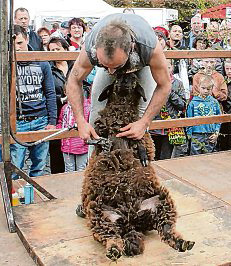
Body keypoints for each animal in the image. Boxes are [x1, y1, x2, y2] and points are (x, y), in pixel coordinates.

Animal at [79, 72, 195, 262]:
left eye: (132, 78)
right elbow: (101, 139)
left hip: (161, 200)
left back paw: (182, 243)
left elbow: (141, 144)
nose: (126, 78)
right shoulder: (100, 133)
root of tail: (131, 220)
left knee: (166, 229)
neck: (121, 109)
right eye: (117, 77)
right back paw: (114, 250)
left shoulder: (143, 139)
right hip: (100, 214)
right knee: (111, 237)